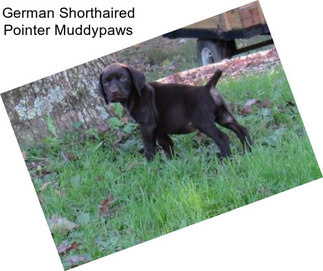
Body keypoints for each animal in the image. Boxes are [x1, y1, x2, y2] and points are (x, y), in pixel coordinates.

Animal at [98, 63, 253, 162]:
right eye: (105, 81)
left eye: (123, 77)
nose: (114, 92)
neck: (137, 94)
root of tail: (207, 87)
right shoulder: (159, 130)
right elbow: (167, 145)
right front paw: (171, 163)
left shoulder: (147, 127)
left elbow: (149, 148)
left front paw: (150, 166)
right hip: (224, 116)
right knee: (242, 130)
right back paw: (249, 151)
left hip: (203, 122)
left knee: (222, 138)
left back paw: (226, 160)